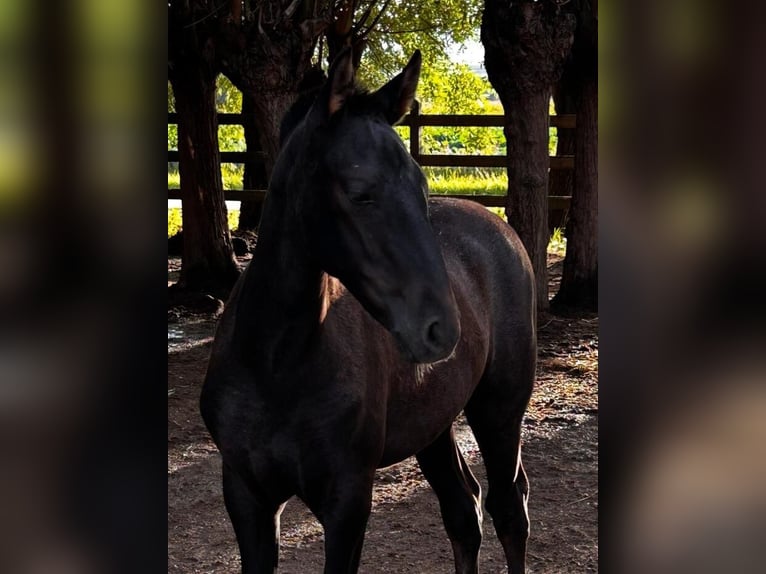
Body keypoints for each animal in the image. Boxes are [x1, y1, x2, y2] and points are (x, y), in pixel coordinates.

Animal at [200, 48, 536, 574]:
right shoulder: (247, 496)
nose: (443, 330)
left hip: (499, 411)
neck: (275, 364)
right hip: (433, 427)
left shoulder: (348, 502)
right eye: (361, 193)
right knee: (464, 509)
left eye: (421, 187)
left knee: (508, 510)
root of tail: (499, 227)